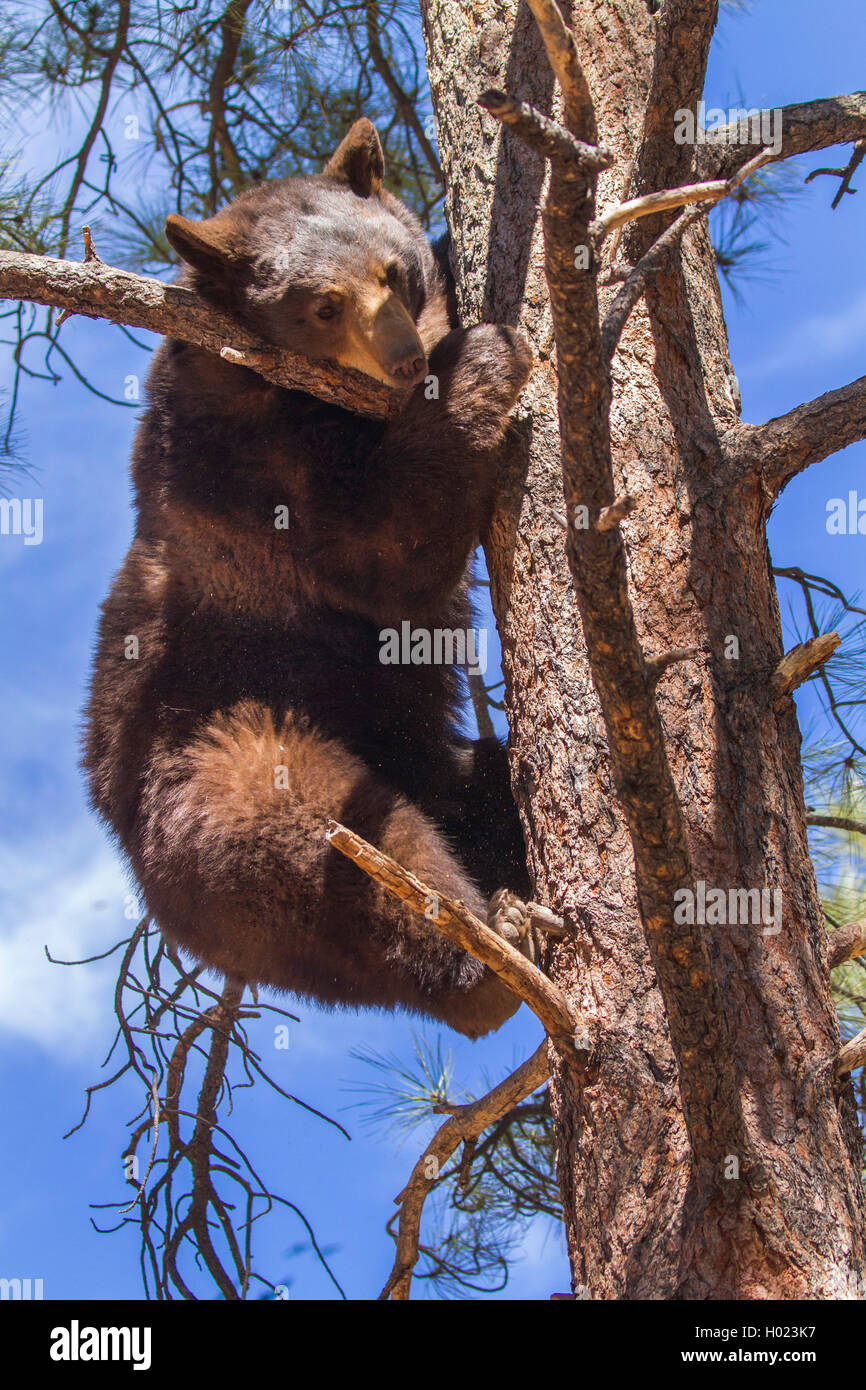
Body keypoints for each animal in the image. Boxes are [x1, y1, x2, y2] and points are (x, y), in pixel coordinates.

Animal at [83, 118, 536, 1038]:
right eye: (321, 306)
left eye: (392, 272)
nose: (404, 360)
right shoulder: (245, 469)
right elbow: (385, 546)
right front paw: (486, 356)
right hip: (219, 764)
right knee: (324, 842)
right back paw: (483, 965)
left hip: (422, 761)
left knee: (474, 785)